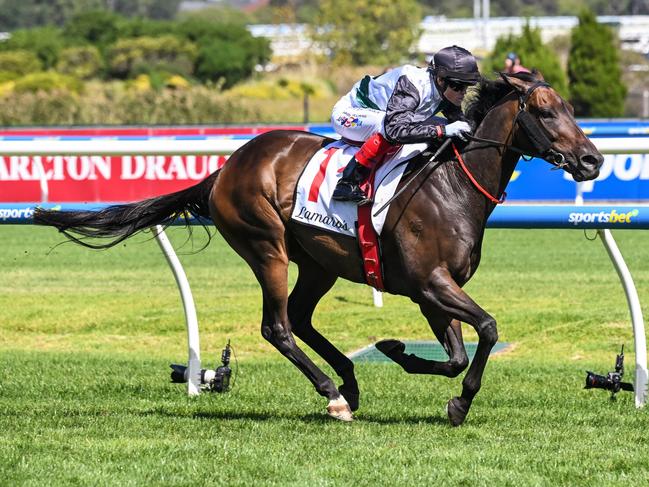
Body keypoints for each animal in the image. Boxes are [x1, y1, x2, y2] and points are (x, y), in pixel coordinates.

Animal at [34, 70, 604, 426]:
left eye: (570, 109)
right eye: (545, 112)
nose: (593, 161)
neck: (452, 185)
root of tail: (226, 167)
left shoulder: (432, 291)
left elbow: (457, 354)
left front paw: (400, 355)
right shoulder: (430, 283)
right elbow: (485, 329)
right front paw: (453, 399)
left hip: (317, 262)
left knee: (302, 318)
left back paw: (348, 381)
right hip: (266, 246)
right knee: (279, 326)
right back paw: (333, 396)